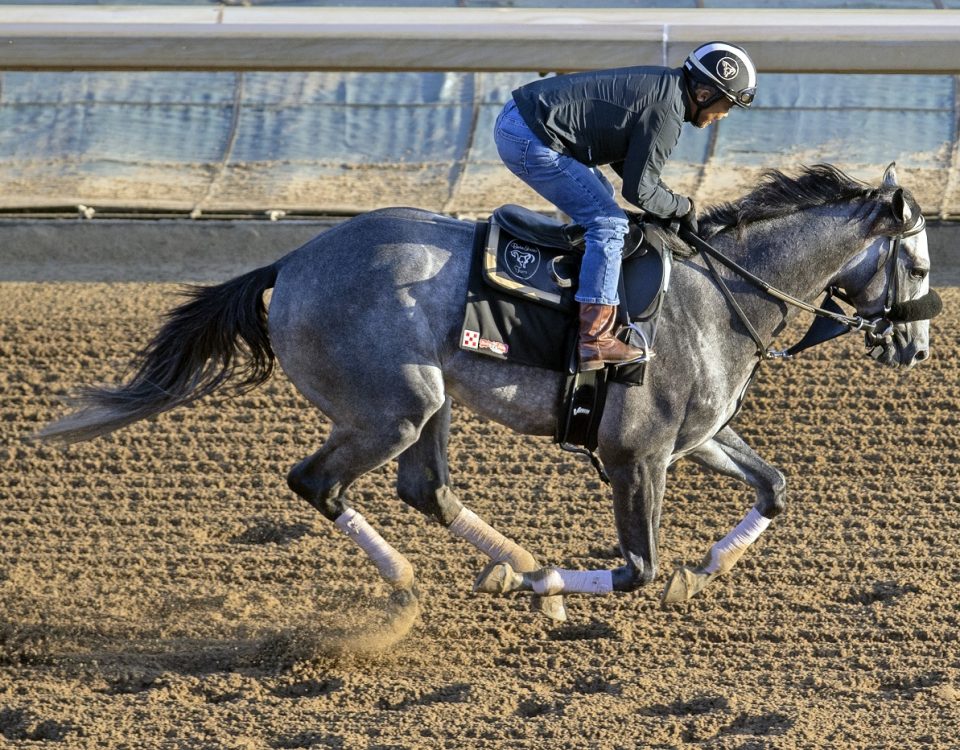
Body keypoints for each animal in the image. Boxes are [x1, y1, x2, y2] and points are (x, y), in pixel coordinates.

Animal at [43, 163, 928, 624]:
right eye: (919, 263)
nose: (915, 347)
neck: (716, 295)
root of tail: (289, 264)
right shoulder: (635, 455)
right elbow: (638, 569)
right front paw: (583, 588)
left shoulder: (698, 437)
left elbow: (774, 486)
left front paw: (705, 566)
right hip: (391, 408)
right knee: (317, 481)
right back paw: (418, 581)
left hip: (429, 403)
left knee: (426, 489)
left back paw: (516, 567)